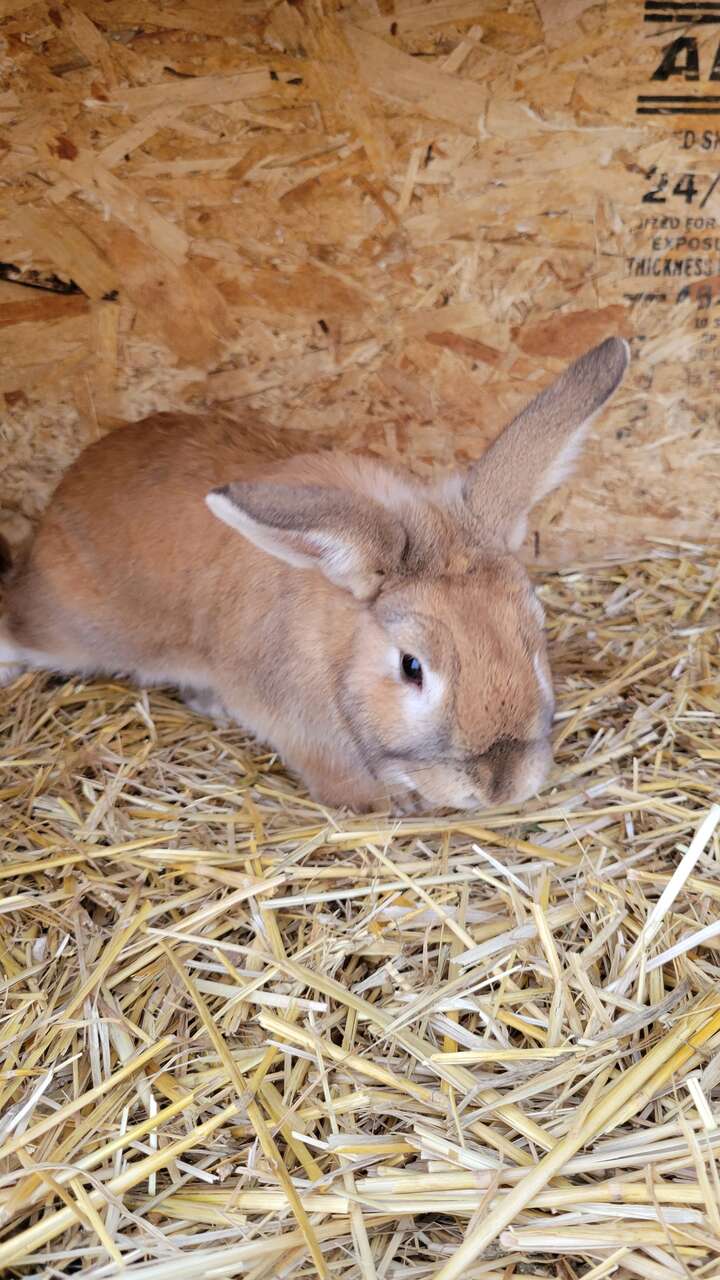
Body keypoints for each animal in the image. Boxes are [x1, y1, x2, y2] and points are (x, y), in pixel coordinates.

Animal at [0, 337, 627, 808]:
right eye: (411, 666)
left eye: (534, 635)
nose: (500, 785)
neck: (341, 643)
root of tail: (61, 499)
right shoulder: (297, 722)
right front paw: (386, 806)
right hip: (77, 626)